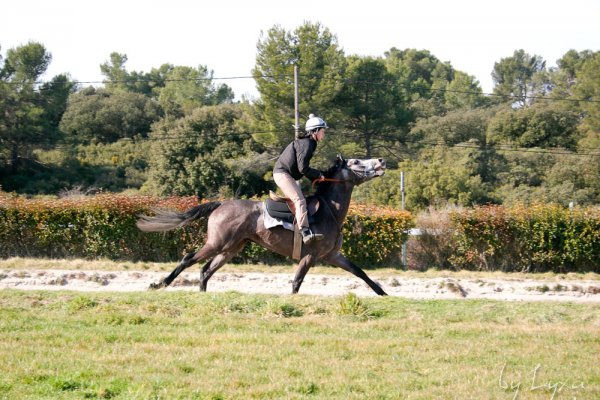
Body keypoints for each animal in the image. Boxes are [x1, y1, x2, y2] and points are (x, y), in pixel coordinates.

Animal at [136, 155, 386, 296]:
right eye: (356, 161)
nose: (381, 161)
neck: (330, 209)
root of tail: (221, 204)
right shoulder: (311, 255)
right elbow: (297, 281)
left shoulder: (333, 255)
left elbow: (360, 272)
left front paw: (382, 293)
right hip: (217, 242)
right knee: (189, 259)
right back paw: (160, 284)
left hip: (231, 248)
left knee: (206, 270)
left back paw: (202, 295)